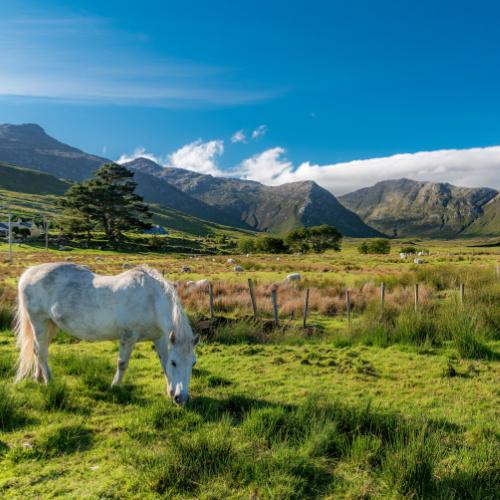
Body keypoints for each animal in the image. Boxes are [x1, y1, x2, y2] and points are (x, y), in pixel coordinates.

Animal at [14, 264, 197, 404]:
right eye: (175, 362)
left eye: (193, 363)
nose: (181, 398)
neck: (151, 300)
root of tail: (28, 273)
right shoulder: (128, 337)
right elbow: (122, 364)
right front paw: (114, 387)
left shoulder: (159, 338)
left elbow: (162, 363)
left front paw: (170, 391)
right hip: (39, 322)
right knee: (40, 351)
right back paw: (49, 381)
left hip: (50, 325)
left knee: (40, 349)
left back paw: (39, 377)